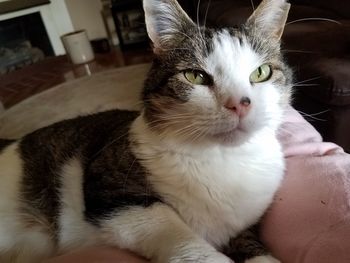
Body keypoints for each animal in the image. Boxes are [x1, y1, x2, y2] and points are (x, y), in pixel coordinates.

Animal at [0, 0, 290, 262]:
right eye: (195, 76)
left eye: (261, 72)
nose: (239, 105)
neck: (223, 159)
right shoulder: (111, 191)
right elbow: (170, 229)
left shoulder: (245, 222)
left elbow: (249, 242)